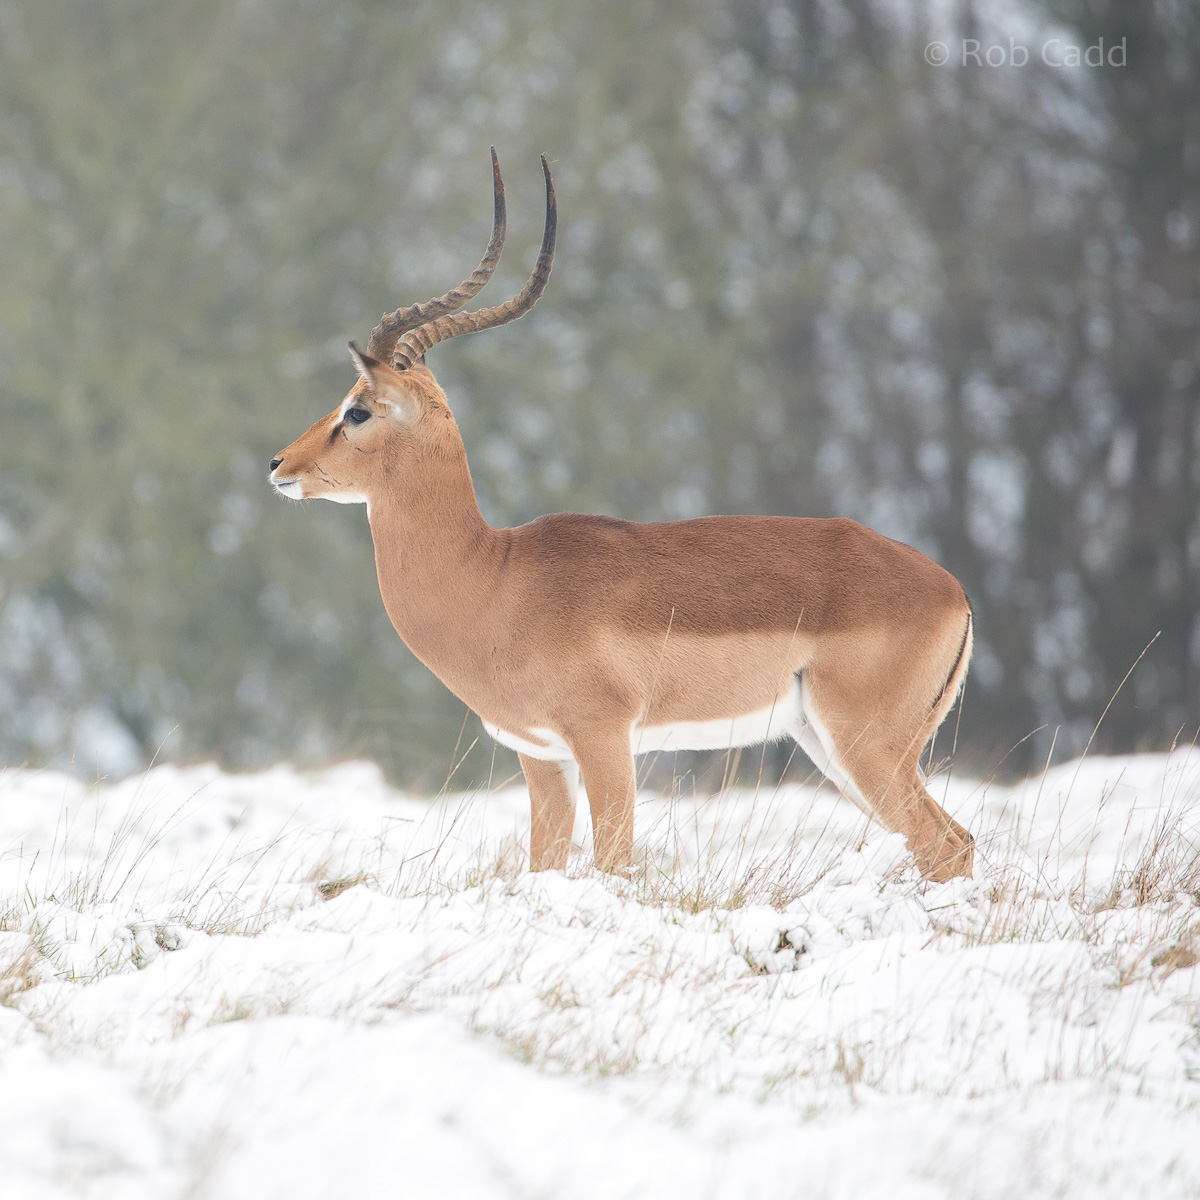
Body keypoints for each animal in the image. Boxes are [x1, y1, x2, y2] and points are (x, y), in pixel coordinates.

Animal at [270, 151, 975, 882]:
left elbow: (614, 862)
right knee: (956, 840)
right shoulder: (540, 753)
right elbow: (546, 863)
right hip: (829, 747)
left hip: (864, 744)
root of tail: (952, 591)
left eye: (357, 409)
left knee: (945, 844)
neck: (494, 577)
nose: (278, 465)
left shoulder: (603, 737)